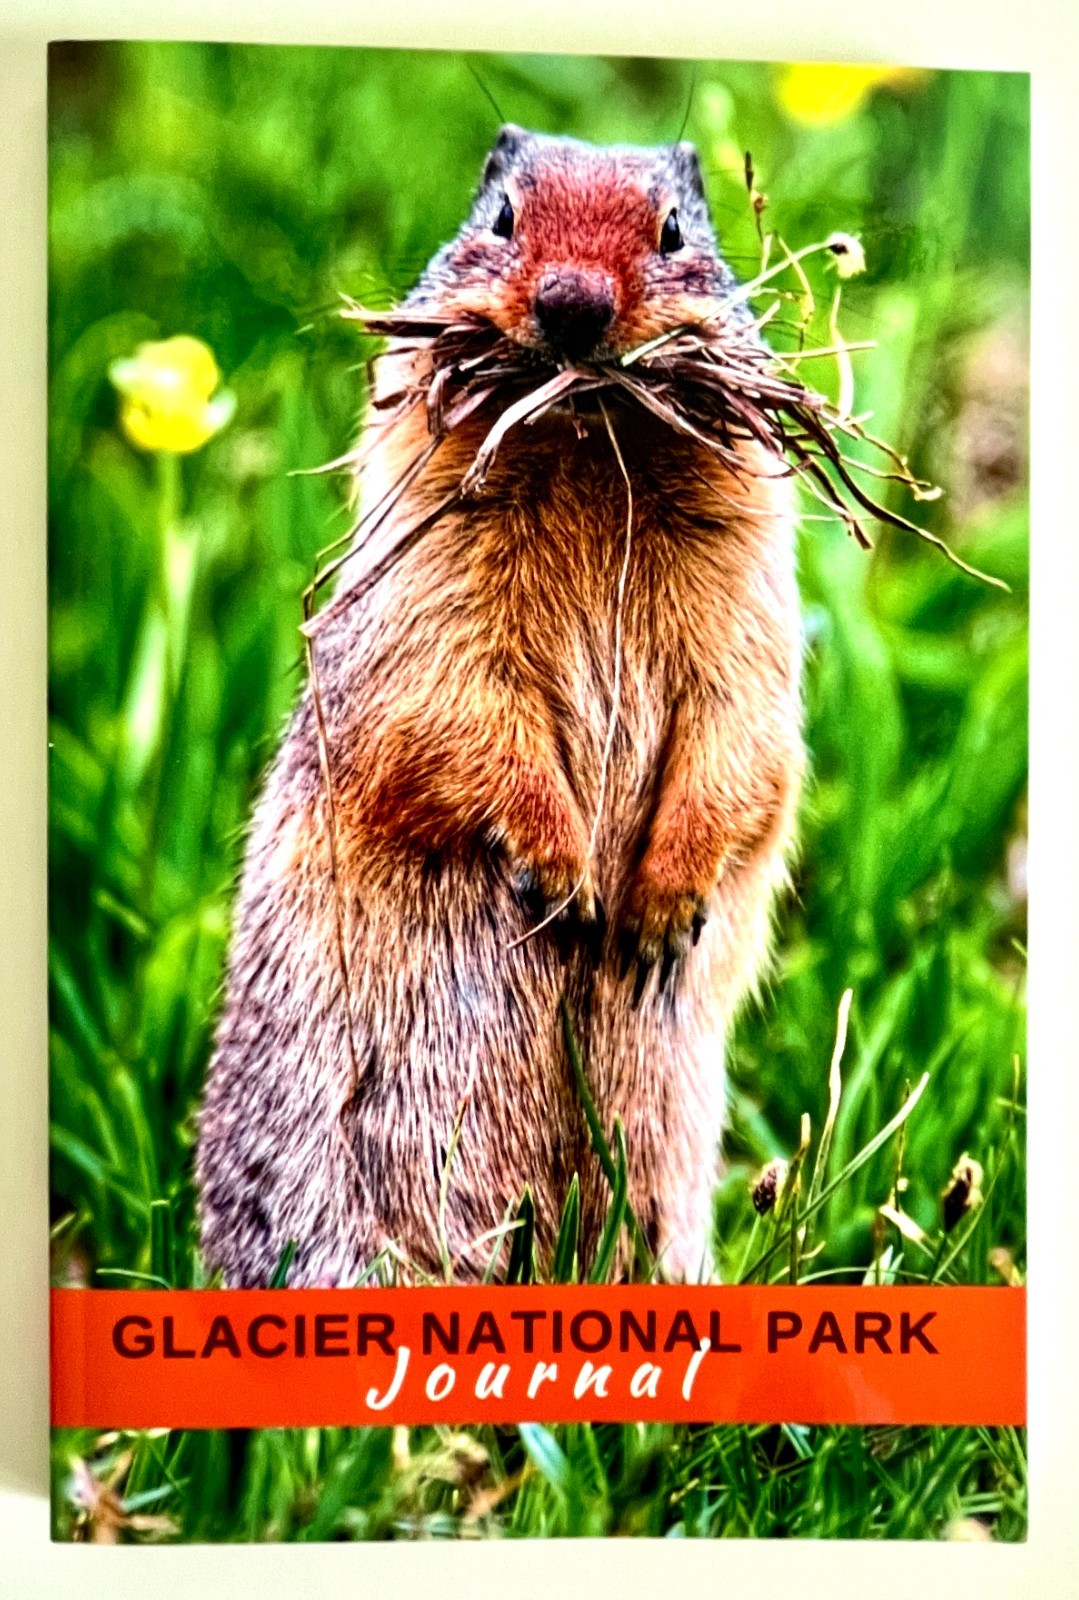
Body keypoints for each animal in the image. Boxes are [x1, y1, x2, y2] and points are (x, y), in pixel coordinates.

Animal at [196, 126, 804, 1287]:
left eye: (673, 229)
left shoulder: (749, 583)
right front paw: (560, 876)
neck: (591, 446)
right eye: (502, 217)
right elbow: (455, 698)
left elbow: (743, 723)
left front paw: (658, 908)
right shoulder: (425, 576)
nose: (573, 305)